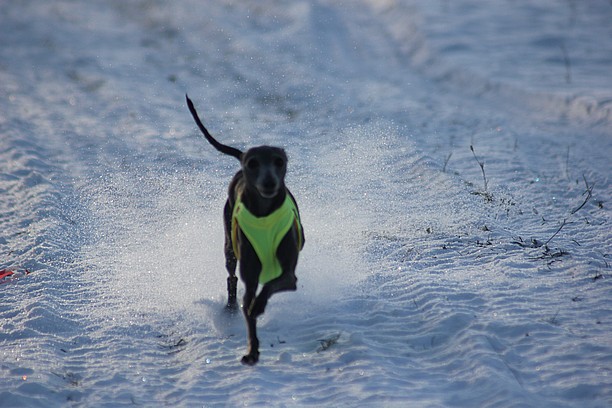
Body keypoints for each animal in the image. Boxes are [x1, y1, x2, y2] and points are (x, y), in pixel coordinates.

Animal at [184, 96, 304, 366]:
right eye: (253, 163)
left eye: (279, 161)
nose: (269, 182)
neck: (264, 215)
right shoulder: (250, 276)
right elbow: (248, 306)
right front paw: (252, 351)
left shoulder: (289, 276)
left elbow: (270, 286)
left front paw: (258, 308)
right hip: (230, 246)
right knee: (231, 277)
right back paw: (229, 308)